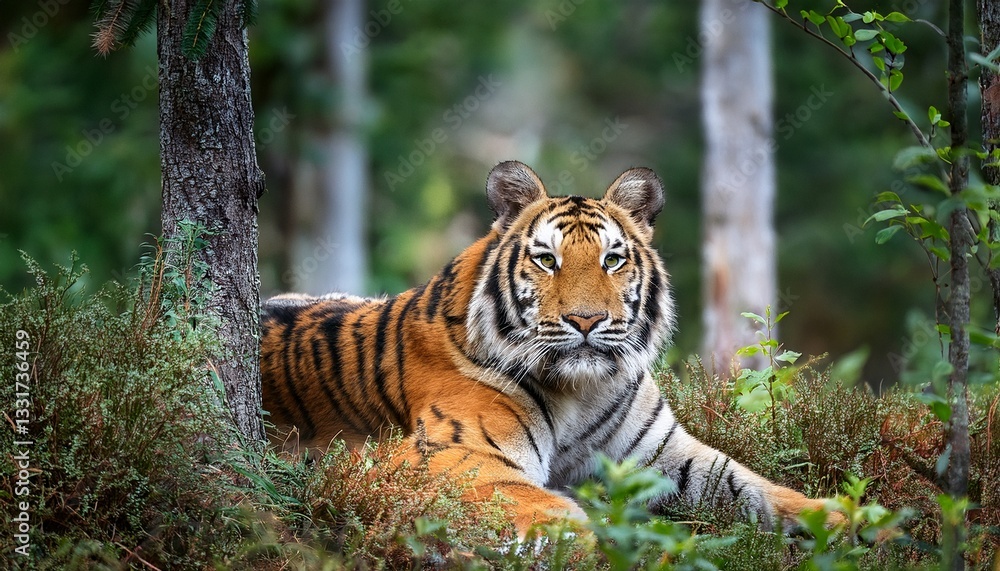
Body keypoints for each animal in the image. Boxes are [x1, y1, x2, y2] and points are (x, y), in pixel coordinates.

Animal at [260, 160, 839, 535]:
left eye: (612, 259)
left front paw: (842, 520)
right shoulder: (453, 456)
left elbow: (755, 485)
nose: (586, 320)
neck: (581, 390)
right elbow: (556, 516)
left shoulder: (661, 453)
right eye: (546, 260)